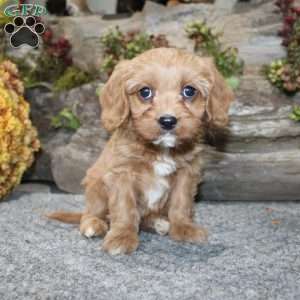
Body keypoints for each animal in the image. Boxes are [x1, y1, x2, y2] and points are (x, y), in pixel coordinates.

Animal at [48, 48, 233, 254]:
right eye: (145, 92)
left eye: (189, 91)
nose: (167, 120)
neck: (160, 148)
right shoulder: (121, 174)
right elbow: (124, 207)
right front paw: (122, 236)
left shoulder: (187, 172)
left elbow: (181, 202)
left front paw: (184, 227)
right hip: (95, 185)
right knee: (90, 212)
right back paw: (93, 224)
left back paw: (159, 223)